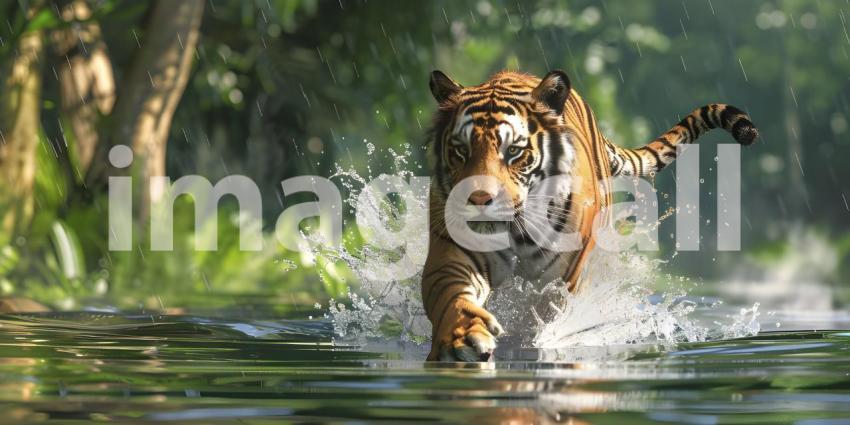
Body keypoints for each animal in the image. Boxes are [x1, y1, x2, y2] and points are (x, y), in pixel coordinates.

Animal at [422, 69, 758, 362]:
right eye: (461, 150)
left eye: (514, 152)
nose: (478, 200)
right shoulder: (453, 253)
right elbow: (452, 296)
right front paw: (463, 338)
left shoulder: (559, 278)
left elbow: (539, 318)